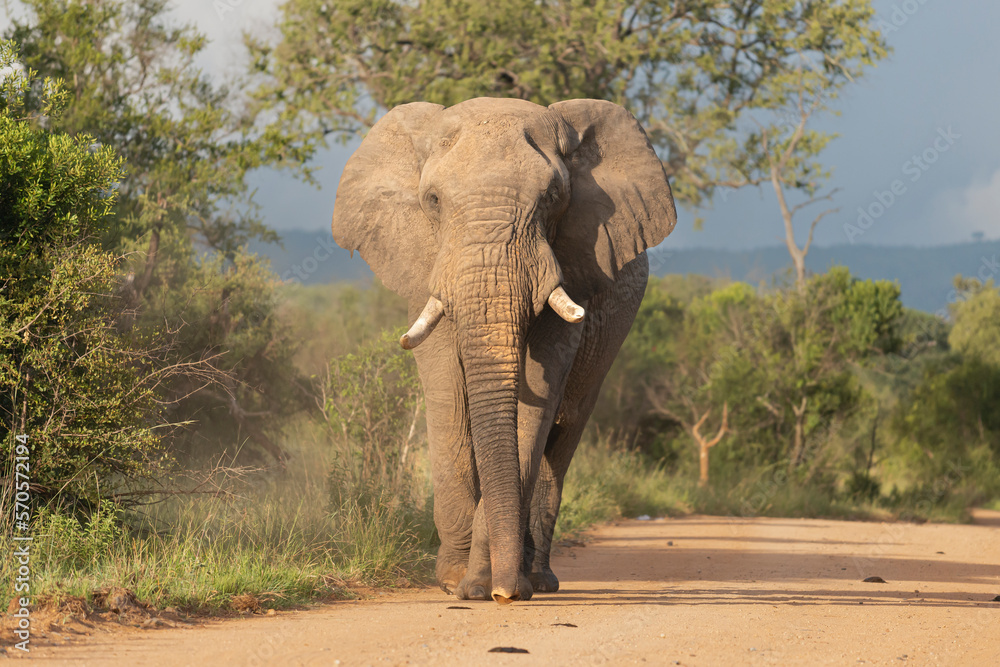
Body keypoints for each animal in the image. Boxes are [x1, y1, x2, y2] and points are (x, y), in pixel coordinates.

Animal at [332, 97, 676, 604]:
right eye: (432, 201)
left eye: (552, 196)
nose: (499, 594)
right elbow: (450, 397)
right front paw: (456, 582)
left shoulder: (571, 267)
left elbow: (534, 404)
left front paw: (486, 584)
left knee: (563, 437)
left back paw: (539, 580)